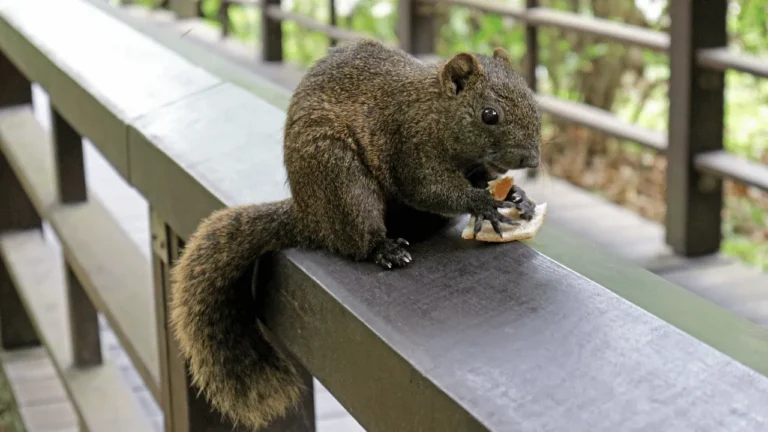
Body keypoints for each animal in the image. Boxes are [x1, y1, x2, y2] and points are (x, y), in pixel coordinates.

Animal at [170, 38, 540, 430]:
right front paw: (482, 203)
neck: (435, 110)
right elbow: (429, 187)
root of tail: (309, 216)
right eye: (490, 115)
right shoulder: (410, 144)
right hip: (341, 178)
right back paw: (385, 249)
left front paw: (517, 197)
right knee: (357, 241)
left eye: (531, 97)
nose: (532, 160)